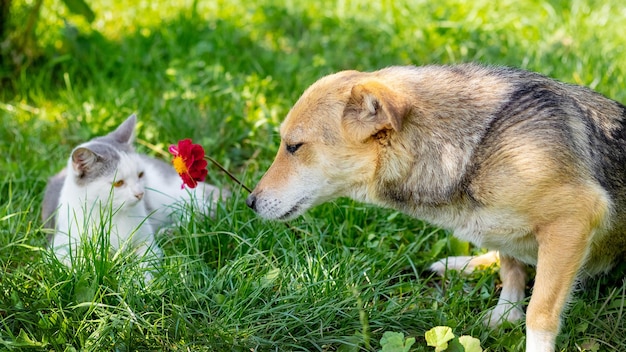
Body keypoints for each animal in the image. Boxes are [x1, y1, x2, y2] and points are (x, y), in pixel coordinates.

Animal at [40, 113, 224, 278]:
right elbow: (79, 263)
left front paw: (142, 287)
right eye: (118, 183)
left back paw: (171, 230)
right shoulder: (58, 249)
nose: (140, 193)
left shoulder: (147, 243)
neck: (111, 216)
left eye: (140, 174)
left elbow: (145, 264)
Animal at [244, 64, 624, 352]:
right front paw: (506, 311)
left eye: (294, 146)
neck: (475, 144)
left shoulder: (573, 218)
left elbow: (540, 313)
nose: (249, 202)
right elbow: (511, 270)